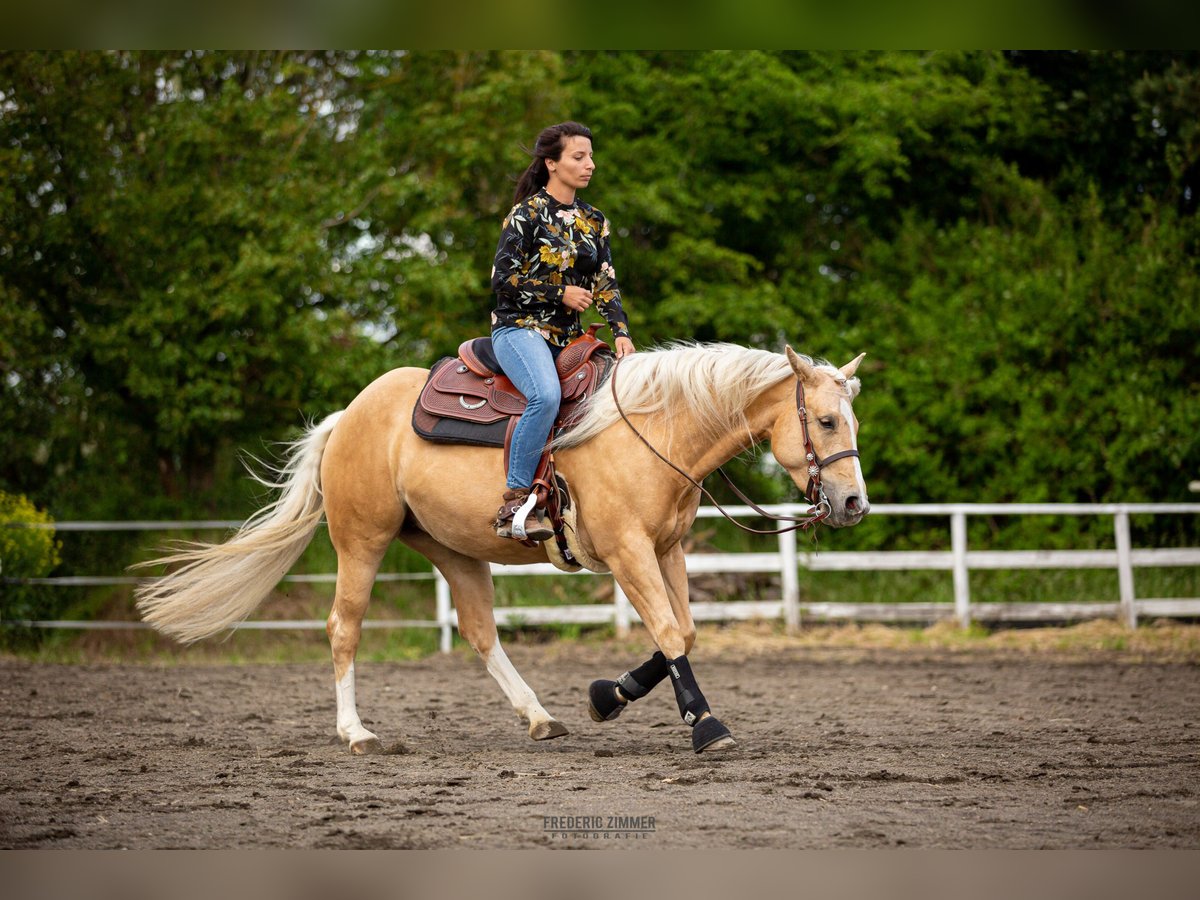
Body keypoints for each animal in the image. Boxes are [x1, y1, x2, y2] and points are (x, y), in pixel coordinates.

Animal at [136, 343, 868, 753]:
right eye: (826, 419)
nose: (854, 504)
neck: (656, 428)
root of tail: (349, 416)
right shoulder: (629, 552)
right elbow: (668, 632)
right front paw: (706, 727)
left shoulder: (668, 549)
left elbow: (681, 633)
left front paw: (608, 695)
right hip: (361, 541)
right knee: (344, 626)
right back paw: (356, 733)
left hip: (456, 550)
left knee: (481, 632)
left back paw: (539, 717)